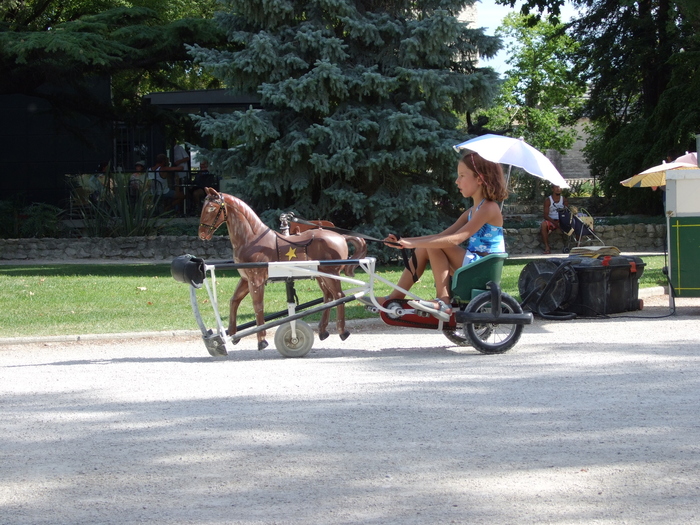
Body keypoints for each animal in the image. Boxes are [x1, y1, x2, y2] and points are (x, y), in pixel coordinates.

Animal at [198, 188, 367, 351]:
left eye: (212, 207)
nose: (202, 234)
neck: (252, 239)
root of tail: (342, 237)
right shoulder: (246, 279)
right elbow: (234, 300)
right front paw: (233, 334)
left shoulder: (256, 280)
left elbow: (258, 306)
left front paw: (262, 340)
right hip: (321, 276)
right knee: (329, 297)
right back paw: (322, 331)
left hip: (331, 273)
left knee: (339, 296)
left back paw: (342, 332)